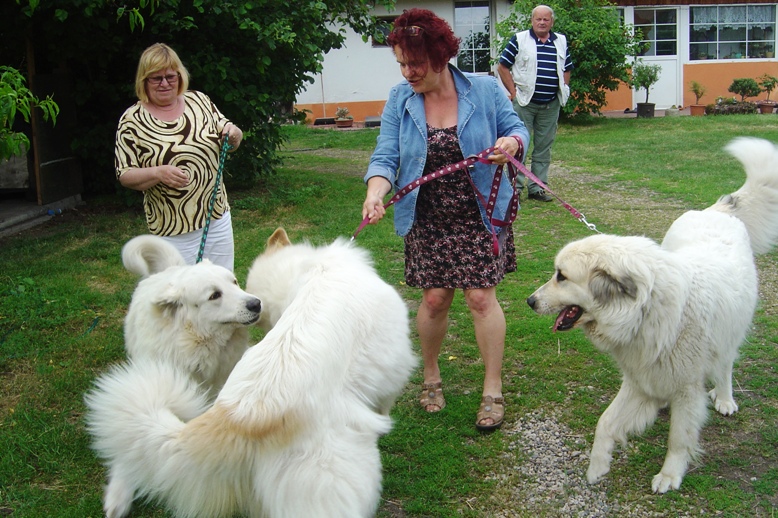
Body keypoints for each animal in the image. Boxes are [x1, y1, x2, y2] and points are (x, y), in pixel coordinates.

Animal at [524, 138, 776, 496]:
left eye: (561, 276)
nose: (530, 301)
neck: (644, 311)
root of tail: (717, 210)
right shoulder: (639, 380)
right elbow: (605, 422)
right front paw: (598, 467)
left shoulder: (686, 389)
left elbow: (678, 438)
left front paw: (670, 475)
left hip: (730, 331)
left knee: (726, 365)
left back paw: (725, 398)